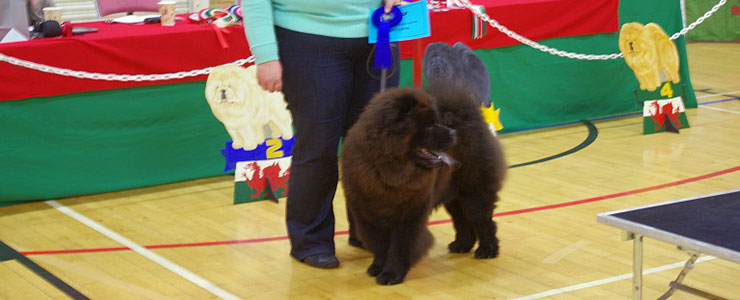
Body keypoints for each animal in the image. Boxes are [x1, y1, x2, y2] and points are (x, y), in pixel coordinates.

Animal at [342, 83, 508, 284]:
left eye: (436, 122)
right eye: (428, 125)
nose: (452, 132)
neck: (388, 169)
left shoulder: (409, 212)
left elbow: (399, 246)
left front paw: (391, 274)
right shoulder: (367, 214)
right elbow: (379, 245)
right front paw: (377, 267)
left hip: (474, 192)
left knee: (483, 222)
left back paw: (487, 250)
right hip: (453, 196)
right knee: (462, 220)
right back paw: (461, 245)